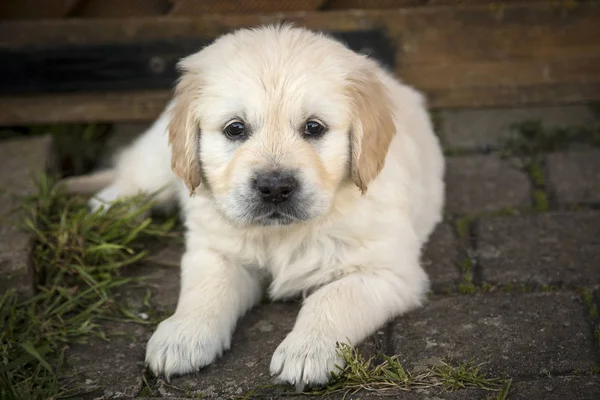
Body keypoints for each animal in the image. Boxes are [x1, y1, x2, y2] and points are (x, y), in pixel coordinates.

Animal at [86, 25, 442, 390]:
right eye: (235, 128)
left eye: (314, 127)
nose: (274, 188)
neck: (282, 234)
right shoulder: (215, 250)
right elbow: (206, 288)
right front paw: (182, 336)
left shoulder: (388, 272)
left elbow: (332, 297)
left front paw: (307, 350)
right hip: (159, 158)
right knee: (134, 175)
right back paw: (108, 209)